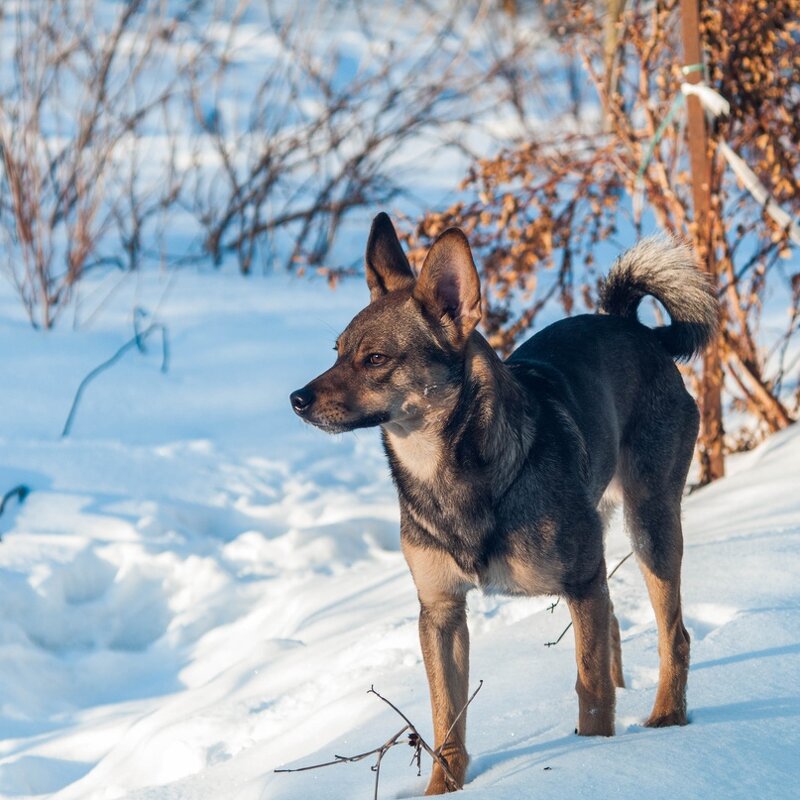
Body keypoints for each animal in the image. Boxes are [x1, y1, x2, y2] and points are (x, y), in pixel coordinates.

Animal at [290, 212, 716, 792]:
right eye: (336, 352)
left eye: (376, 359)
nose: (297, 400)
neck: (450, 473)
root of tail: (636, 330)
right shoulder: (441, 613)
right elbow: (446, 718)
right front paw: (443, 790)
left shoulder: (581, 582)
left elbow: (590, 691)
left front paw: (596, 758)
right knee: (616, 626)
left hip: (650, 523)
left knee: (675, 634)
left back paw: (667, 718)